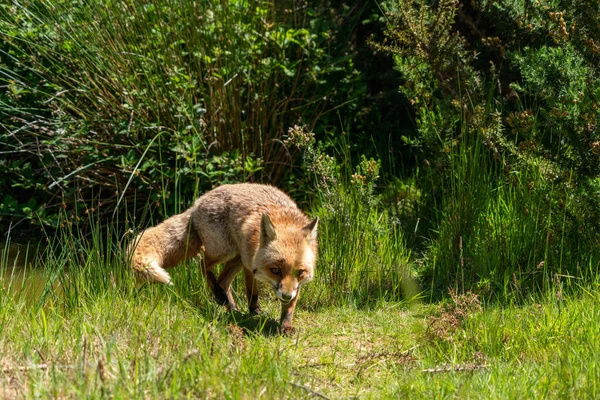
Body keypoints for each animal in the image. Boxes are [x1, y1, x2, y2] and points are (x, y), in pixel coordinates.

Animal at [127, 184, 318, 334]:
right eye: (275, 270)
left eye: (300, 272)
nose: (285, 295)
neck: (284, 220)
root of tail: (197, 203)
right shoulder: (249, 263)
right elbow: (252, 291)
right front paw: (254, 310)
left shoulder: (293, 283)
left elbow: (290, 306)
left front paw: (286, 325)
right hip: (226, 251)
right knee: (204, 265)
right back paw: (222, 297)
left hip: (236, 258)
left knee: (223, 281)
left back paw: (231, 308)